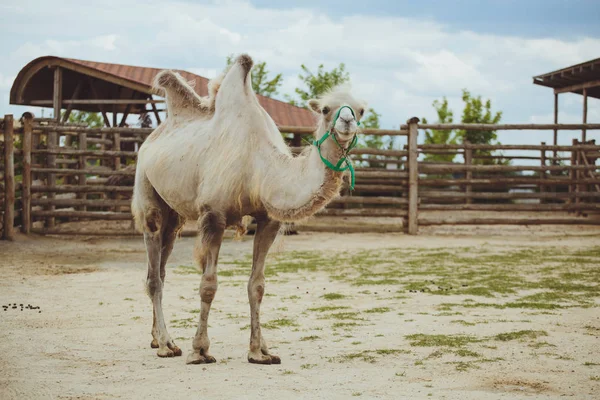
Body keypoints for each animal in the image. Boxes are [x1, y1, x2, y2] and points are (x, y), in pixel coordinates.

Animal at [134, 54, 368, 366]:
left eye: (361, 110)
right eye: (326, 109)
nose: (347, 121)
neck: (260, 166)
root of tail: (151, 139)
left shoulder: (268, 219)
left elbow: (257, 285)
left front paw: (260, 351)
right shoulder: (214, 215)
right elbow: (208, 284)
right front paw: (200, 350)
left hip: (175, 214)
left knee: (161, 265)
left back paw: (156, 338)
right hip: (147, 191)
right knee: (153, 271)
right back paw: (166, 345)